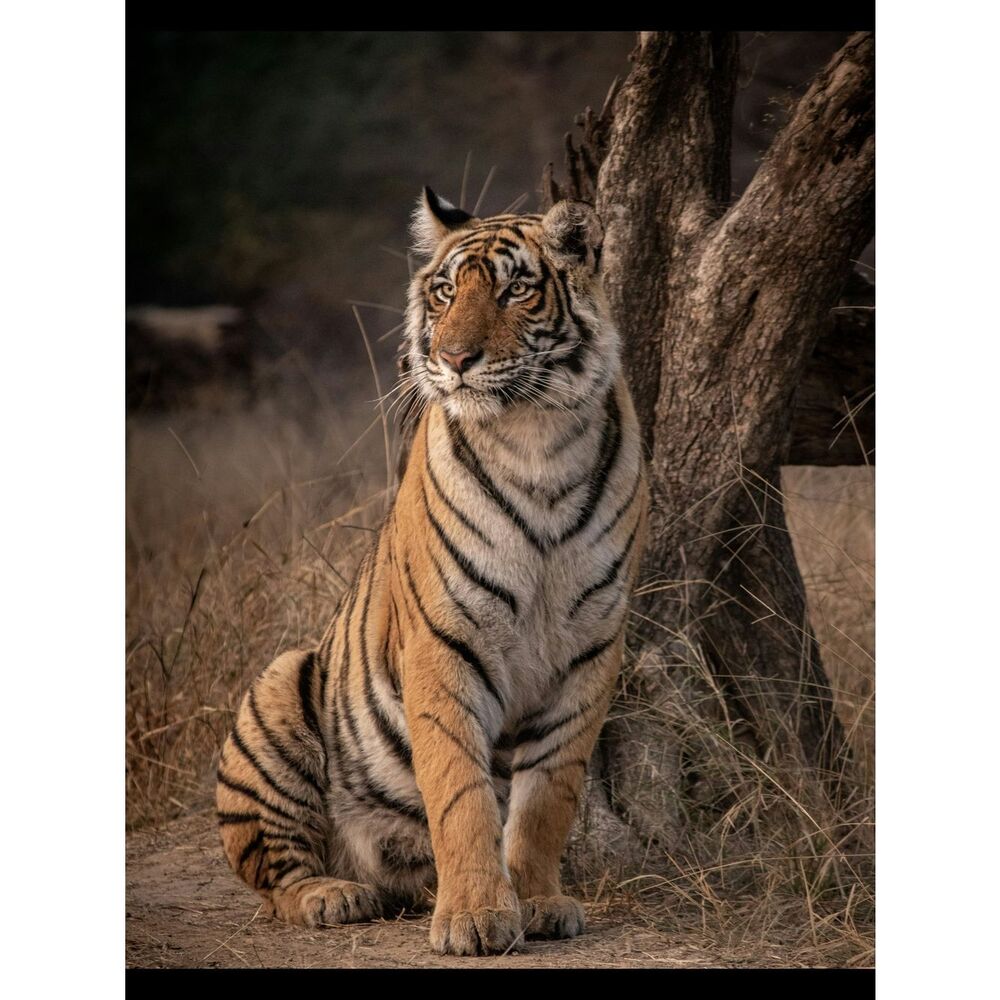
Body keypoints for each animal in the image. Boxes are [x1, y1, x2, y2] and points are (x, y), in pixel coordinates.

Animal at [215, 187, 648, 956]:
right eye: (445, 292)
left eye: (514, 290)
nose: (454, 358)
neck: (537, 440)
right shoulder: (445, 641)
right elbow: (459, 791)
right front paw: (475, 917)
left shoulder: (591, 648)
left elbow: (548, 796)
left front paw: (538, 901)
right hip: (278, 690)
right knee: (275, 877)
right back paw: (333, 895)